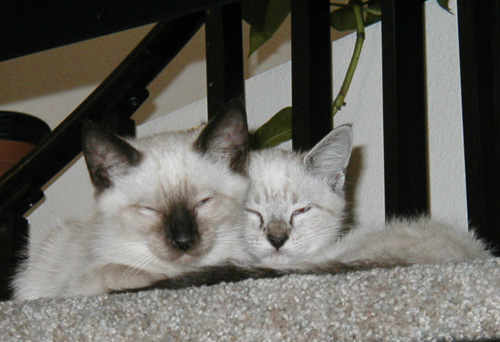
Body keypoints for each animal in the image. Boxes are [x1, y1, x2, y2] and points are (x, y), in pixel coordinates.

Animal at [12, 103, 254, 300]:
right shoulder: (73, 286)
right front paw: (160, 277)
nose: (183, 241)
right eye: (149, 209)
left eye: (203, 202)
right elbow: (121, 271)